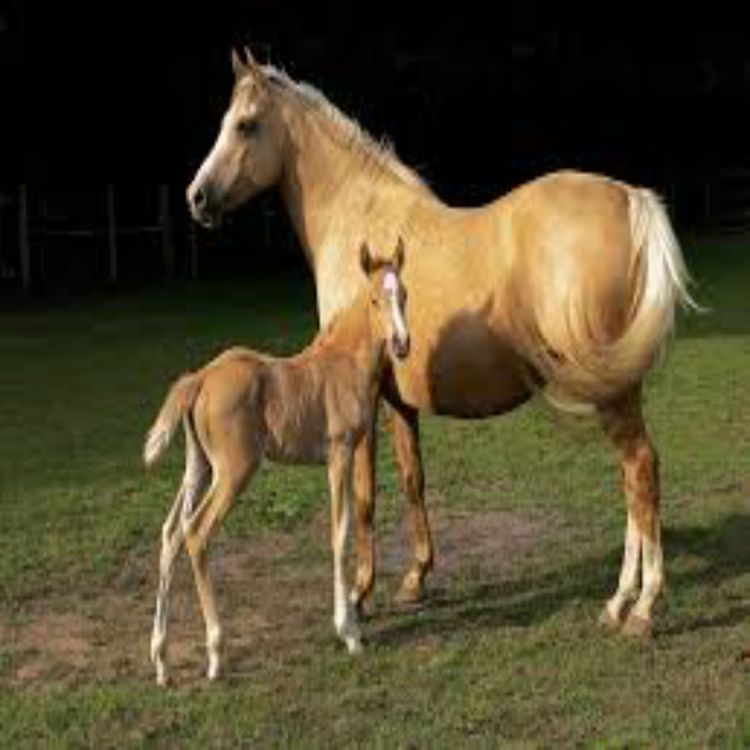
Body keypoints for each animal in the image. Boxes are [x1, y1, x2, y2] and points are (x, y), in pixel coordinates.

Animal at [144, 240, 410, 685]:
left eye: (404, 295)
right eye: (375, 298)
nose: (402, 343)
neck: (343, 361)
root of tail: (200, 378)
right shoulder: (339, 453)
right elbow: (340, 532)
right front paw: (349, 632)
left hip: (199, 467)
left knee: (170, 534)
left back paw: (161, 660)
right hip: (234, 471)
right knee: (196, 533)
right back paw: (215, 654)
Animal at [186, 47, 697, 638]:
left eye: (245, 124)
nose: (197, 197)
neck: (362, 218)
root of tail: (630, 199)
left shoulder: (362, 404)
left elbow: (364, 499)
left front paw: (359, 595)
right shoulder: (400, 401)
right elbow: (413, 480)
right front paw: (415, 579)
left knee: (640, 470)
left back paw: (640, 607)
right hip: (619, 387)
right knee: (633, 479)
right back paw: (618, 602)